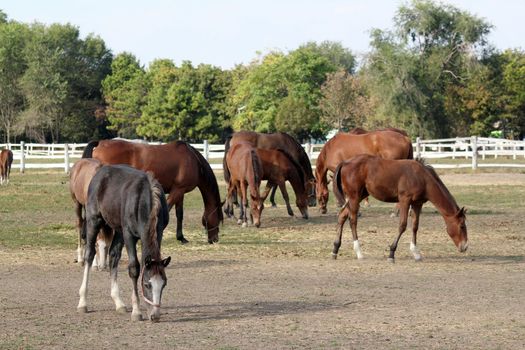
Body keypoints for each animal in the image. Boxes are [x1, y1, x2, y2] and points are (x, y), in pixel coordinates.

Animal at [77, 165, 171, 322]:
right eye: (147, 284)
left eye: (164, 284)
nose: (155, 316)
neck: (144, 201)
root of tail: (100, 172)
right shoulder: (129, 235)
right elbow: (134, 268)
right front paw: (137, 312)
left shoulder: (159, 233)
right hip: (94, 220)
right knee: (89, 254)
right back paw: (82, 302)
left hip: (118, 230)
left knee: (113, 256)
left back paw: (118, 303)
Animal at [82, 139, 221, 243]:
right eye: (219, 219)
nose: (214, 239)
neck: (193, 160)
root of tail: (100, 143)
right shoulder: (177, 191)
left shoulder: (180, 192)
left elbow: (179, 214)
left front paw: (181, 237)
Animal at [332, 154, 466, 262]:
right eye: (462, 226)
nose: (464, 247)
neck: (422, 177)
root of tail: (345, 162)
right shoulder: (405, 200)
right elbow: (402, 225)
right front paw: (391, 253)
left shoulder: (417, 203)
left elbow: (415, 226)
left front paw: (416, 253)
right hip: (354, 197)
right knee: (353, 220)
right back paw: (359, 252)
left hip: (359, 195)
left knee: (342, 215)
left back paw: (335, 249)